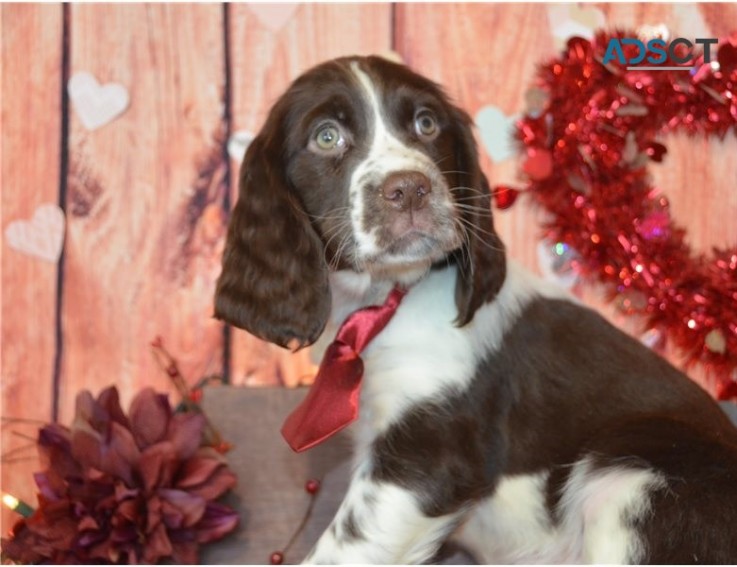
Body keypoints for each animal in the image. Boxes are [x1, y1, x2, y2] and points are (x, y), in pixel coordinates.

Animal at [214, 56, 736, 564]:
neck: (385, 301)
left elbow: (342, 548)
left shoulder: (427, 458)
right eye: (326, 136)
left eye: (426, 123)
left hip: (624, 479)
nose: (410, 189)